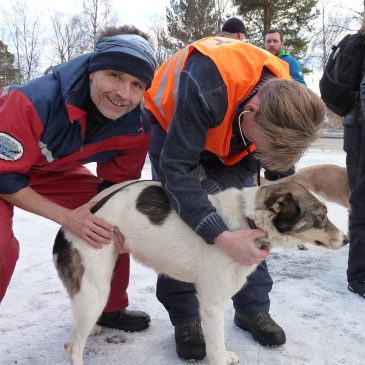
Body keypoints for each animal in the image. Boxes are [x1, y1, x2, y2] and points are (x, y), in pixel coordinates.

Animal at [52, 179, 346, 364]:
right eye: (321, 215)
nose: (346, 240)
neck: (246, 220)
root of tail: (74, 221)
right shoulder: (212, 304)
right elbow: (215, 347)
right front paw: (221, 357)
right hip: (96, 291)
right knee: (71, 346)